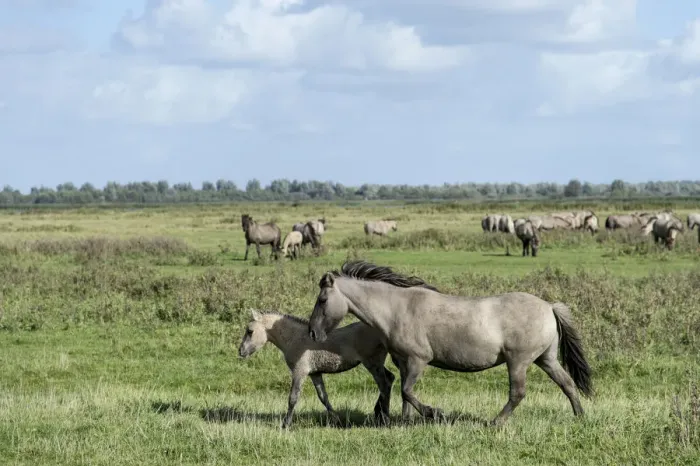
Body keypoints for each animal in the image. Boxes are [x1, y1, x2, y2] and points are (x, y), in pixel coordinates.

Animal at [238, 310, 395, 428]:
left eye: (250, 331)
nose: (240, 351)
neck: (295, 338)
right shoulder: (315, 373)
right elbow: (323, 397)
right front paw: (336, 420)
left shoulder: (299, 372)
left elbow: (293, 398)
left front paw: (285, 424)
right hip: (375, 364)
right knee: (390, 379)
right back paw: (379, 413)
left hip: (372, 363)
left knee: (384, 384)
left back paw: (385, 420)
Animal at [307, 260, 593, 426]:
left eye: (322, 300)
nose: (312, 332)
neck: (396, 309)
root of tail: (549, 306)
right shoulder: (403, 361)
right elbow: (403, 393)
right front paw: (404, 422)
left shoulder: (418, 360)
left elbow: (407, 391)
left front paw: (435, 413)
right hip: (547, 359)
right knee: (567, 383)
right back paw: (580, 417)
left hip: (519, 361)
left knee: (518, 393)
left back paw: (495, 423)